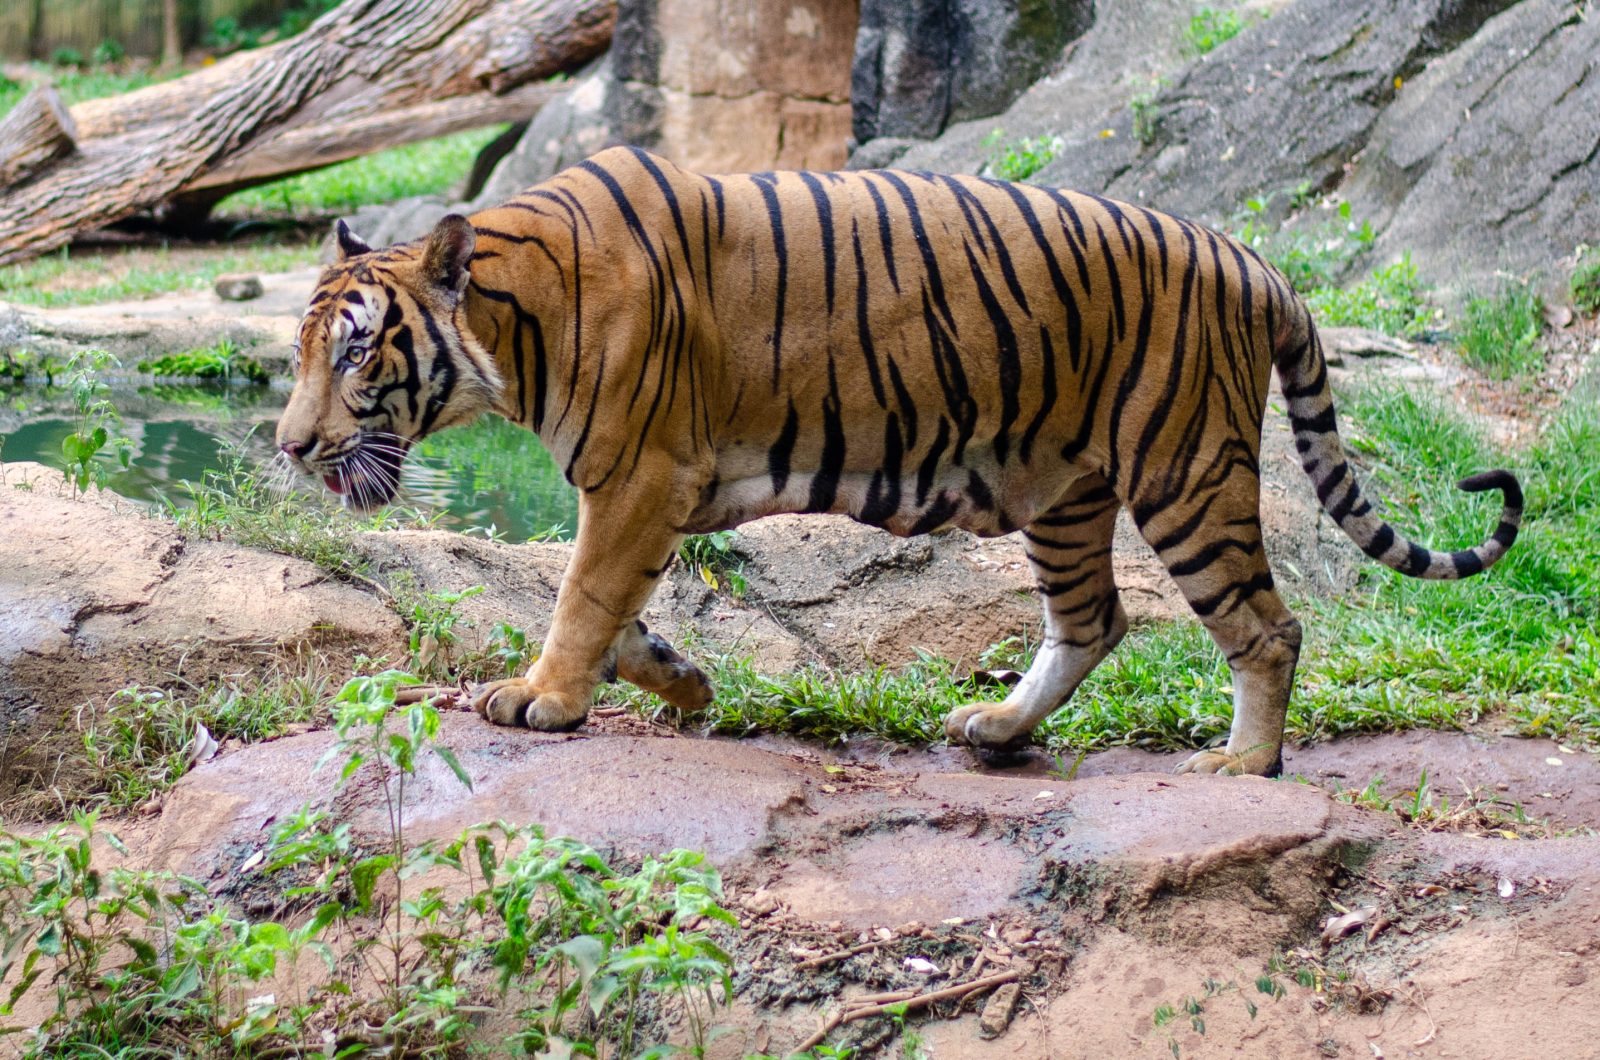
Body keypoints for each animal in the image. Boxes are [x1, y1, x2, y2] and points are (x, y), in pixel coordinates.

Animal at [275, 145, 1523, 778]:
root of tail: (1254, 263)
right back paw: (1000, 731)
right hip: (1062, 491)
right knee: (1094, 620)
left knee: (1266, 626)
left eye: (354, 355)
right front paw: (681, 681)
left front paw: (542, 698)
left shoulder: (638, 476)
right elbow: (618, 605)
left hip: (1185, 472)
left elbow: (583, 594)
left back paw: (1239, 765)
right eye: (298, 352)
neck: (511, 328)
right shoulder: (648, 491)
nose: (289, 446)